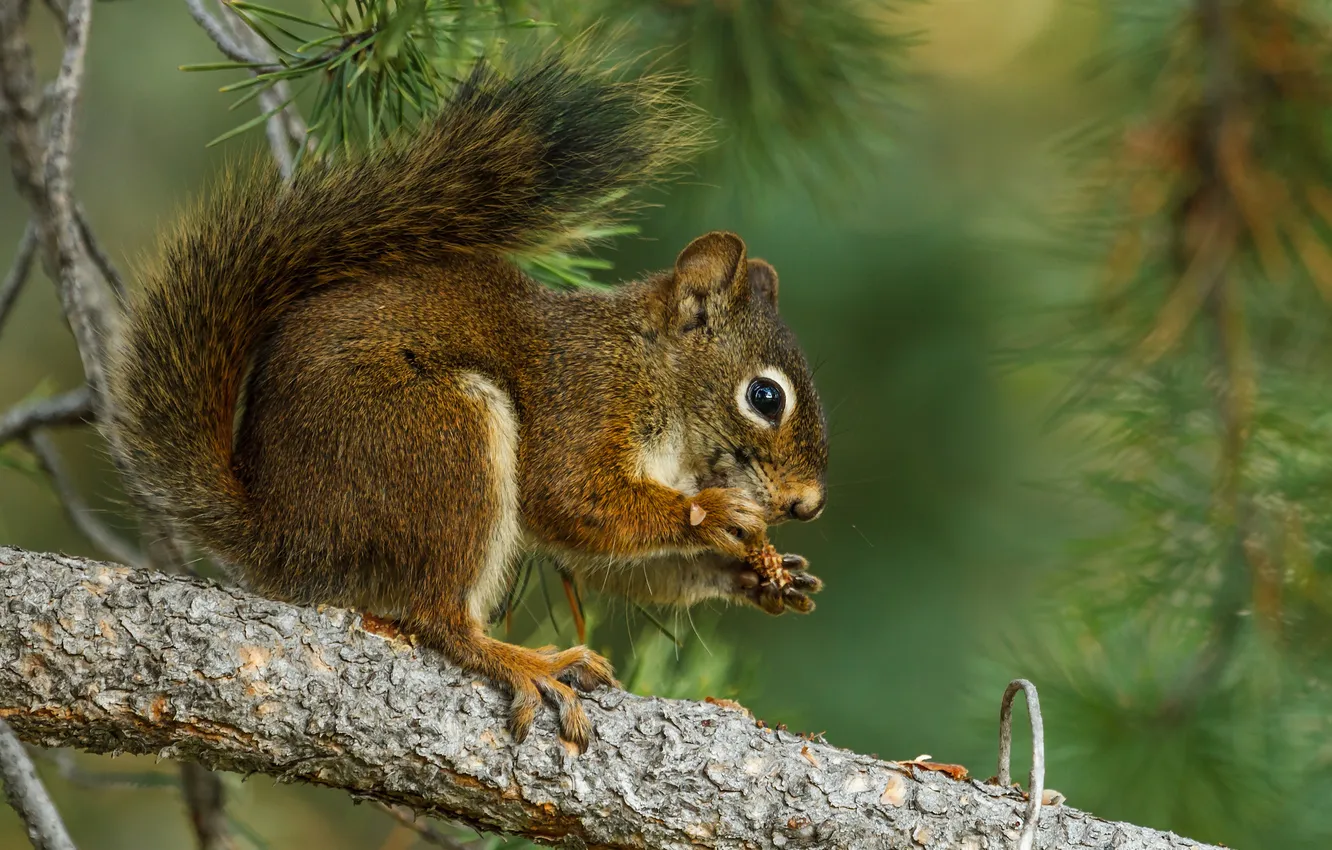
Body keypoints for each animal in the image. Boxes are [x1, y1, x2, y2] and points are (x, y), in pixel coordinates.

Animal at [109, 56, 825, 756]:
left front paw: (763, 575)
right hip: (440, 439)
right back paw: (530, 663)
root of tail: (286, 530)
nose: (809, 506)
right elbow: (571, 499)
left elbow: (612, 560)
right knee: (438, 618)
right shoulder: (585, 399)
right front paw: (713, 515)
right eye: (765, 396)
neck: (655, 376)